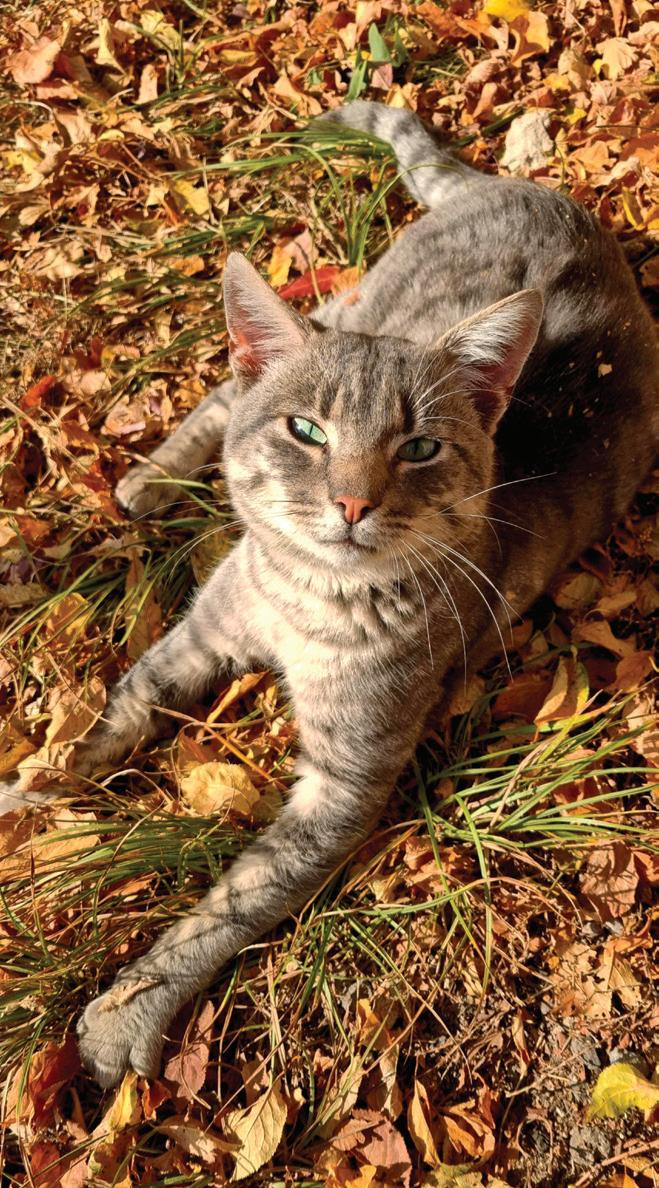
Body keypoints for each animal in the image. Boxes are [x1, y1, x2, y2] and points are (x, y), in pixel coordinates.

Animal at [1, 101, 656, 1088]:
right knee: (219, 391)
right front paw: (37, 786)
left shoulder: (344, 783)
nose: (351, 502)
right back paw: (149, 479)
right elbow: (110, 719)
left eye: (418, 447)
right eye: (306, 432)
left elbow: (234, 900)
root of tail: (536, 191)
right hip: (348, 301)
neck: (302, 600)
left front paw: (127, 1010)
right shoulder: (195, 638)